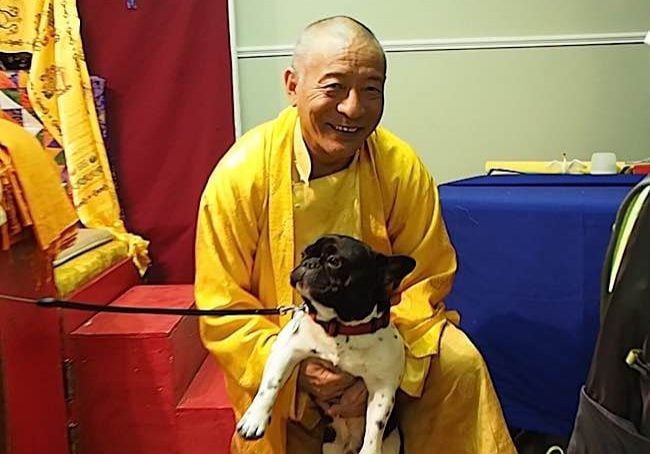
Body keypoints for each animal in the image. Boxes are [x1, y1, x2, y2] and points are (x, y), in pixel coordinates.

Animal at [237, 236, 416, 452]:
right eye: (304, 254)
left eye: (334, 261)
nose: (308, 263)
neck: (340, 328)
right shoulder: (286, 349)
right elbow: (271, 384)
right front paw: (254, 419)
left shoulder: (383, 387)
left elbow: (375, 427)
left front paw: (370, 450)